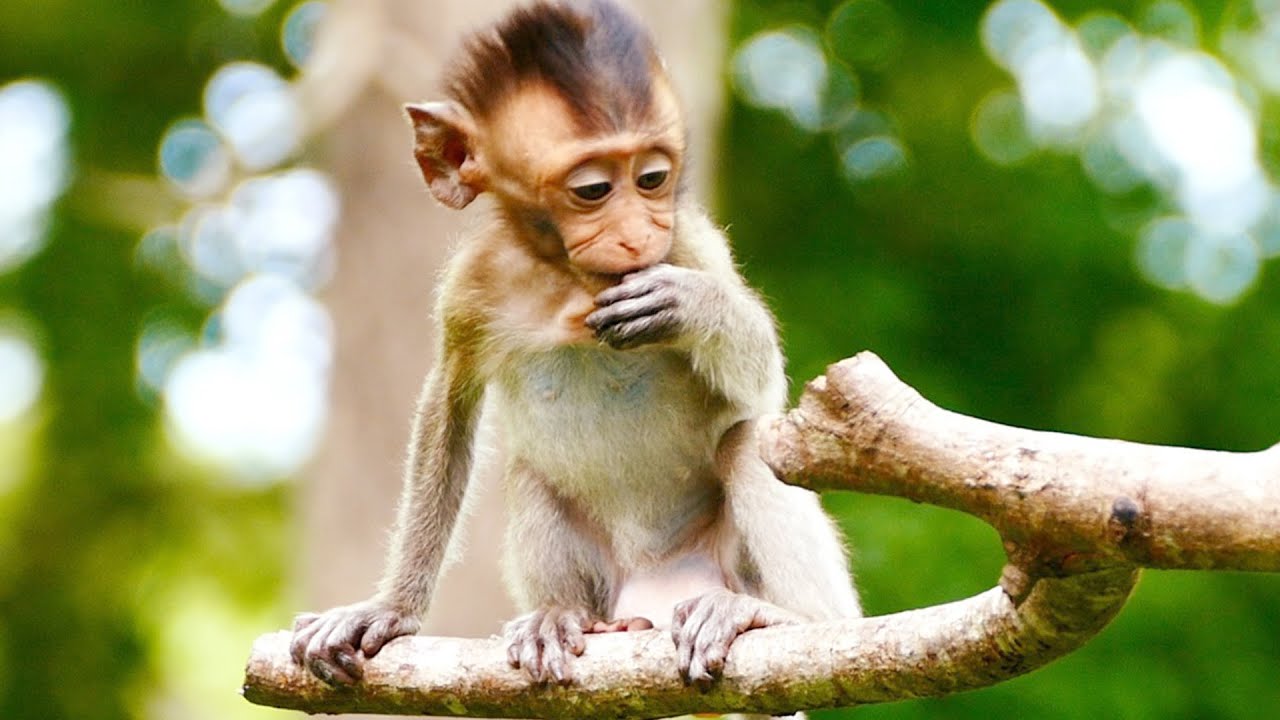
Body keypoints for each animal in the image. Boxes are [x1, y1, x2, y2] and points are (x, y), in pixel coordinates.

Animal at [290, 0, 860, 691]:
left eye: (652, 178)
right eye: (593, 190)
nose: (639, 233)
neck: (568, 277)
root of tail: (661, 587)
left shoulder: (690, 243)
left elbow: (764, 385)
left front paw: (691, 306)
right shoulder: (472, 285)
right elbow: (448, 405)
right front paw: (390, 609)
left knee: (748, 445)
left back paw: (781, 617)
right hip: (610, 583)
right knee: (530, 475)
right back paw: (564, 619)